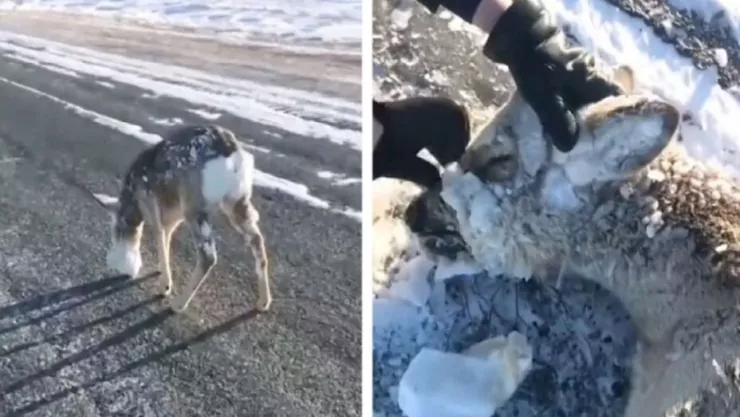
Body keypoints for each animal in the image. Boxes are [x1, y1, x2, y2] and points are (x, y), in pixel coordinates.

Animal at [89, 124, 271, 314]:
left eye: (117, 230)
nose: (117, 265)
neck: (132, 198)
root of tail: (232, 153)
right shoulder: (173, 215)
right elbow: (167, 238)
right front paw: (161, 273)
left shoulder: (149, 202)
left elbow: (159, 236)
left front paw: (165, 286)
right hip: (237, 201)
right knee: (257, 239)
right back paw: (264, 302)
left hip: (195, 205)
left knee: (208, 255)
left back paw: (179, 304)